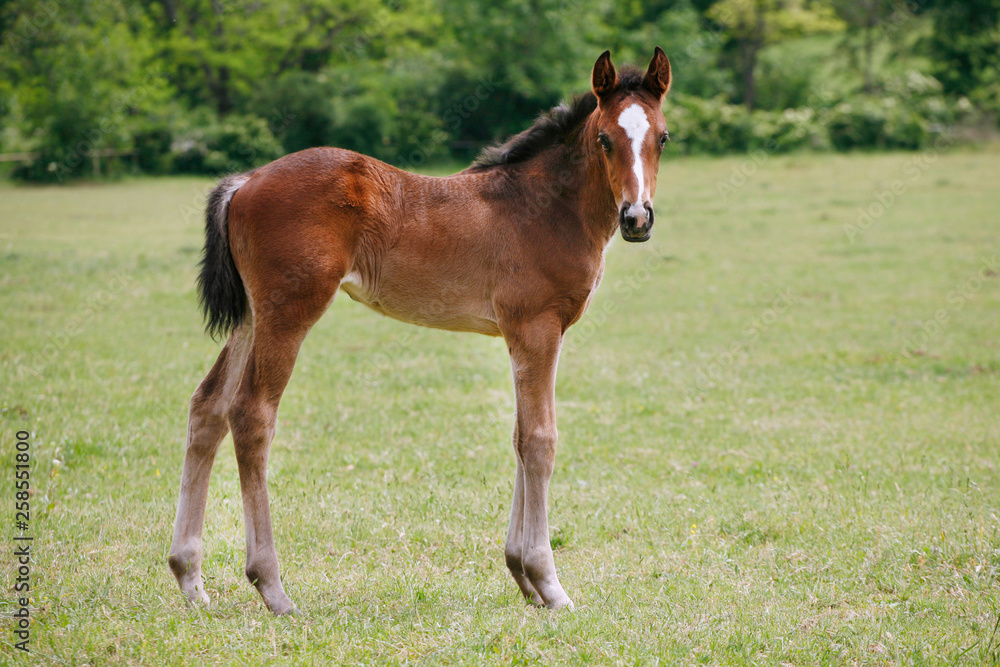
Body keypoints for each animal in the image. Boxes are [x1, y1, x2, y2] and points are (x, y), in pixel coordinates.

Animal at [170, 49, 672, 620]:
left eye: (663, 137)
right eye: (605, 139)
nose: (637, 218)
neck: (544, 207)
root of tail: (246, 181)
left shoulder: (524, 335)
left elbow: (520, 437)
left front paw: (522, 576)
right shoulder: (537, 326)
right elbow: (541, 440)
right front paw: (549, 583)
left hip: (251, 316)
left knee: (208, 406)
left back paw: (190, 578)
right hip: (287, 313)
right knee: (252, 415)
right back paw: (272, 586)